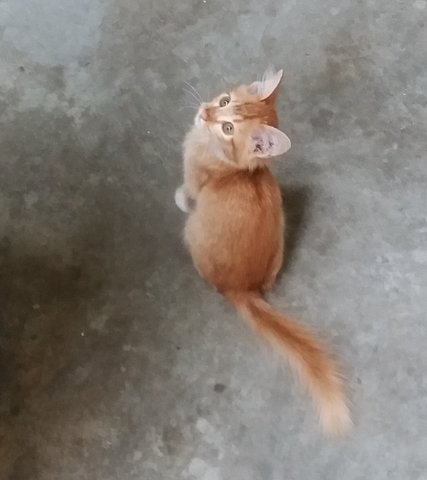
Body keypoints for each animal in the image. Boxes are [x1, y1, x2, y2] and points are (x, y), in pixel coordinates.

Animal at [174, 68, 352, 436]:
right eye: (224, 101)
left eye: (228, 128)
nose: (205, 112)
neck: (240, 169)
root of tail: (244, 288)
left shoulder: (196, 181)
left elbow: (187, 193)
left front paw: (179, 198)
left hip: (192, 233)